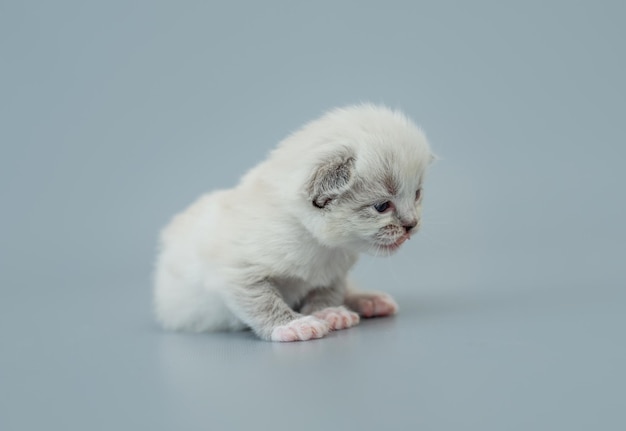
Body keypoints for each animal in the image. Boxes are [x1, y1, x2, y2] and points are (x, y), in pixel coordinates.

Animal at [154, 104, 432, 340]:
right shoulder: (237, 273)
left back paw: (369, 301)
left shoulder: (333, 273)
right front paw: (294, 324)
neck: (317, 243)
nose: (412, 224)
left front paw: (328, 312)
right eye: (382, 206)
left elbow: (327, 293)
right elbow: (265, 302)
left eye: (417, 194)